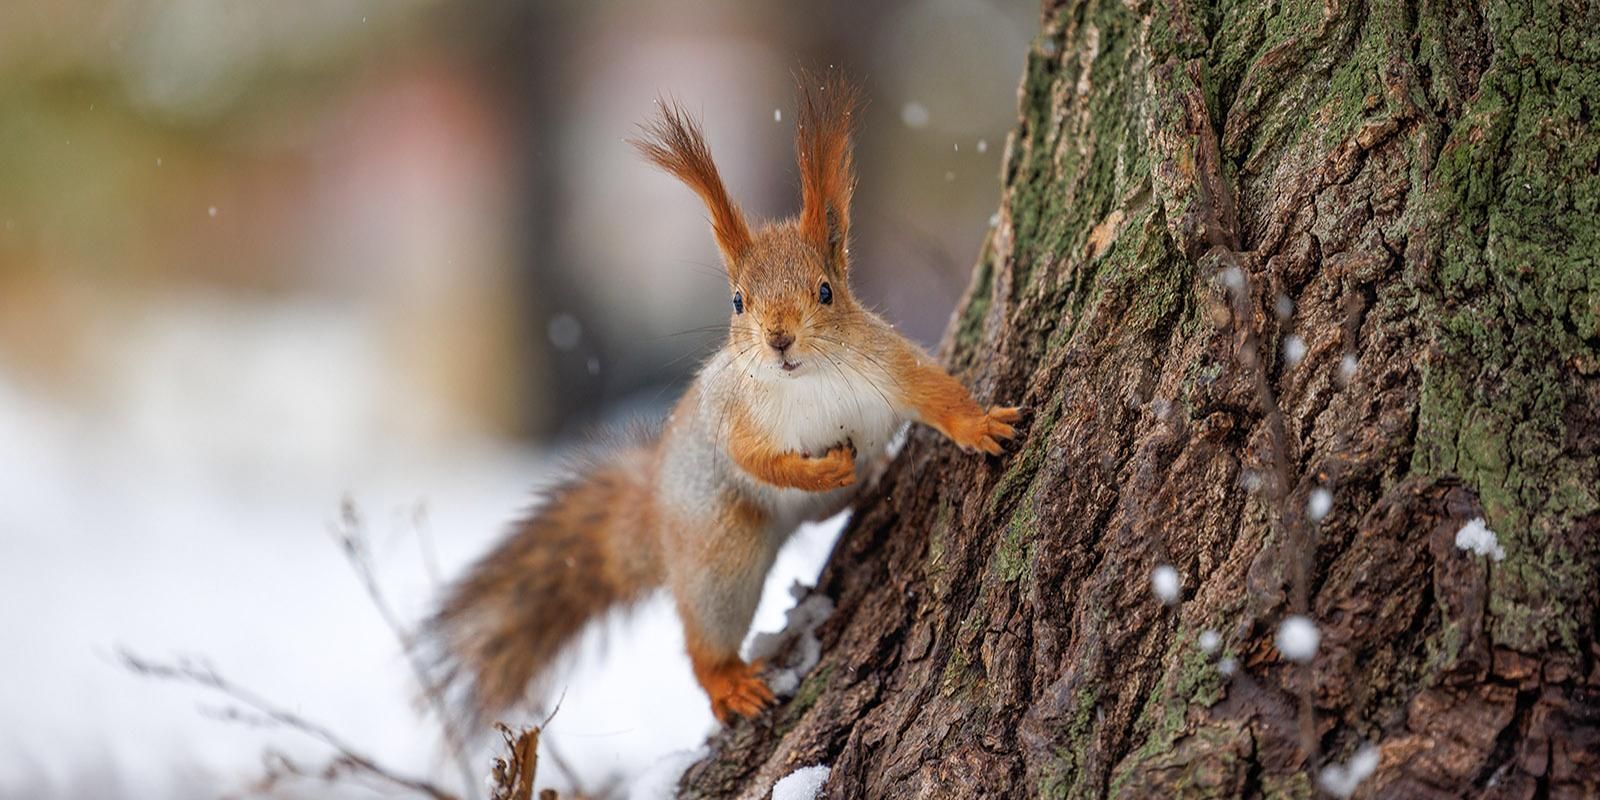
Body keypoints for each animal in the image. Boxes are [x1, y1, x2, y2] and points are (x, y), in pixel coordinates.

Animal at [424, 70, 1020, 727]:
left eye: (826, 290)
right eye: (737, 301)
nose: (779, 338)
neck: (806, 381)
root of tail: (657, 516)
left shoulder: (889, 365)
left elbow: (936, 392)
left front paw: (979, 426)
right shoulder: (735, 416)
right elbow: (752, 458)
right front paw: (818, 469)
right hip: (720, 553)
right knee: (703, 640)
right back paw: (729, 681)